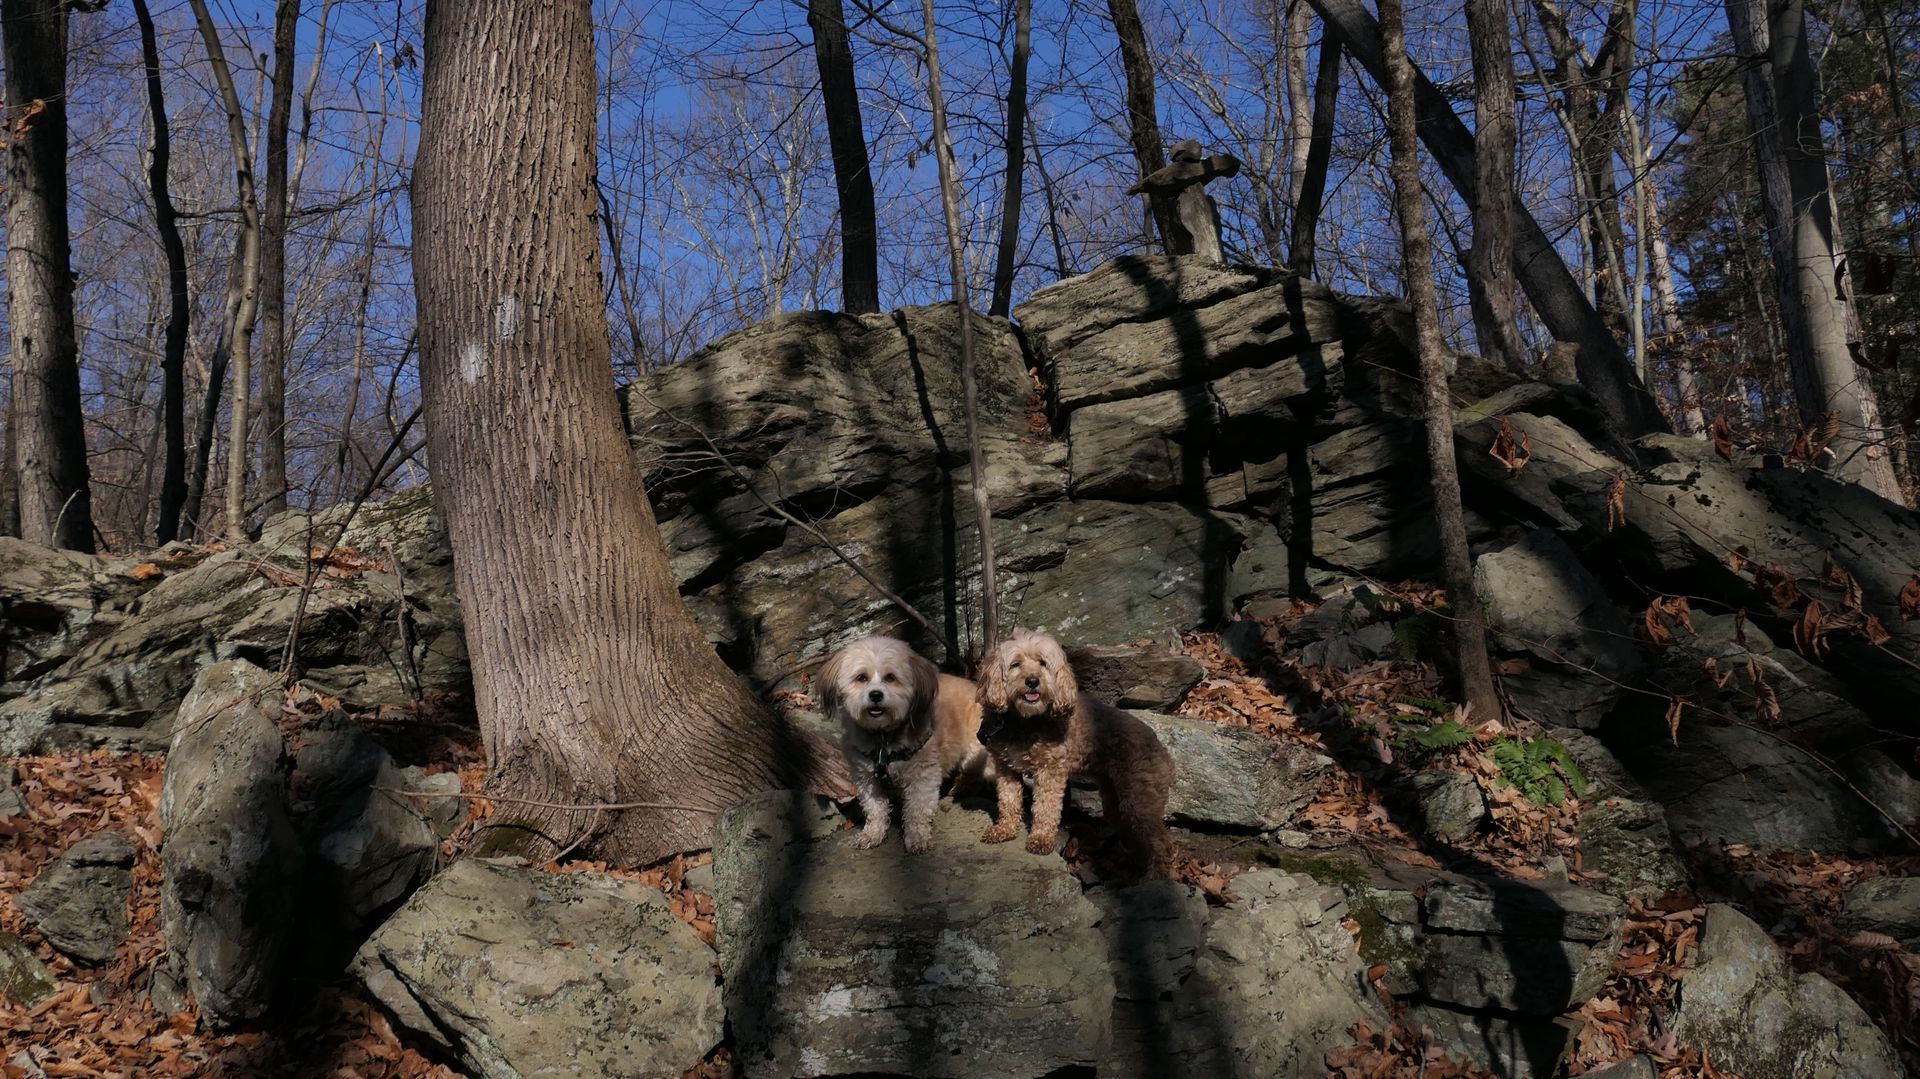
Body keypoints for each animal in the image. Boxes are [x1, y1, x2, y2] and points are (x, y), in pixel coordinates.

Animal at [814, 629, 990, 848]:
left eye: (891, 678)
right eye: (861, 678)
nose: (875, 695)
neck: (883, 739)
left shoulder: (923, 775)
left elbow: (917, 810)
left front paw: (917, 837)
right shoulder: (866, 778)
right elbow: (874, 809)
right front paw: (872, 834)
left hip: (975, 752)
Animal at [983, 625, 1175, 879]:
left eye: (1043, 663)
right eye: (1015, 664)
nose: (1032, 681)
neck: (1025, 720)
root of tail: (1162, 750)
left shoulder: (1050, 772)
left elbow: (1046, 808)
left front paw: (1040, 839)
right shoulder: (1006, 767)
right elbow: (1008, 800)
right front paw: (1004, 829)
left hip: (1140, 800)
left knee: (1161, 842)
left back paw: (1156, 879)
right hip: (1117, 803)